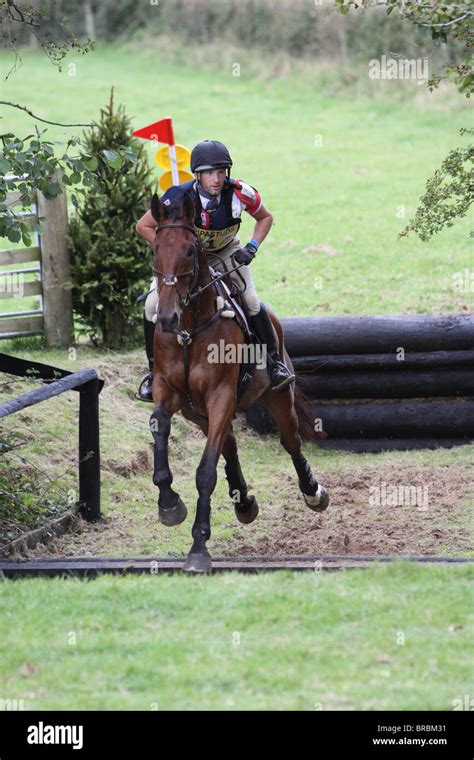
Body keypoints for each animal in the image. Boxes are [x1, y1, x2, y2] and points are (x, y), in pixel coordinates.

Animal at [148, 193, 330, 572]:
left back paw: (313, 492)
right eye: (155, 249)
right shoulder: (167, 391)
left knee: (290, 442)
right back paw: (243, 502)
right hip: (198, 413)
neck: (190, 329)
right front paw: (169, 503)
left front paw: (198, 548)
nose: (169, 318)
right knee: (229, 446)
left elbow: (205, 473)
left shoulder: (221, 396)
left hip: (276, 398)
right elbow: (160, 426)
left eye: (190, 251)